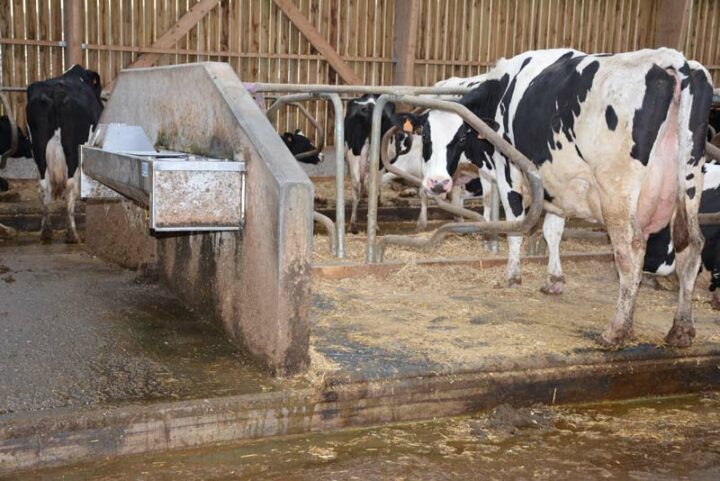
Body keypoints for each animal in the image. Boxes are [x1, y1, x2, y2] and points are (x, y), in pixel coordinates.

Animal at [25, 64, 102, 244]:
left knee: (44, 188)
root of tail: (55, 92)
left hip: (38, 151)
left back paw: (46, 232)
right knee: (70, 187)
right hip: (72, 151)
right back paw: (72, 233)